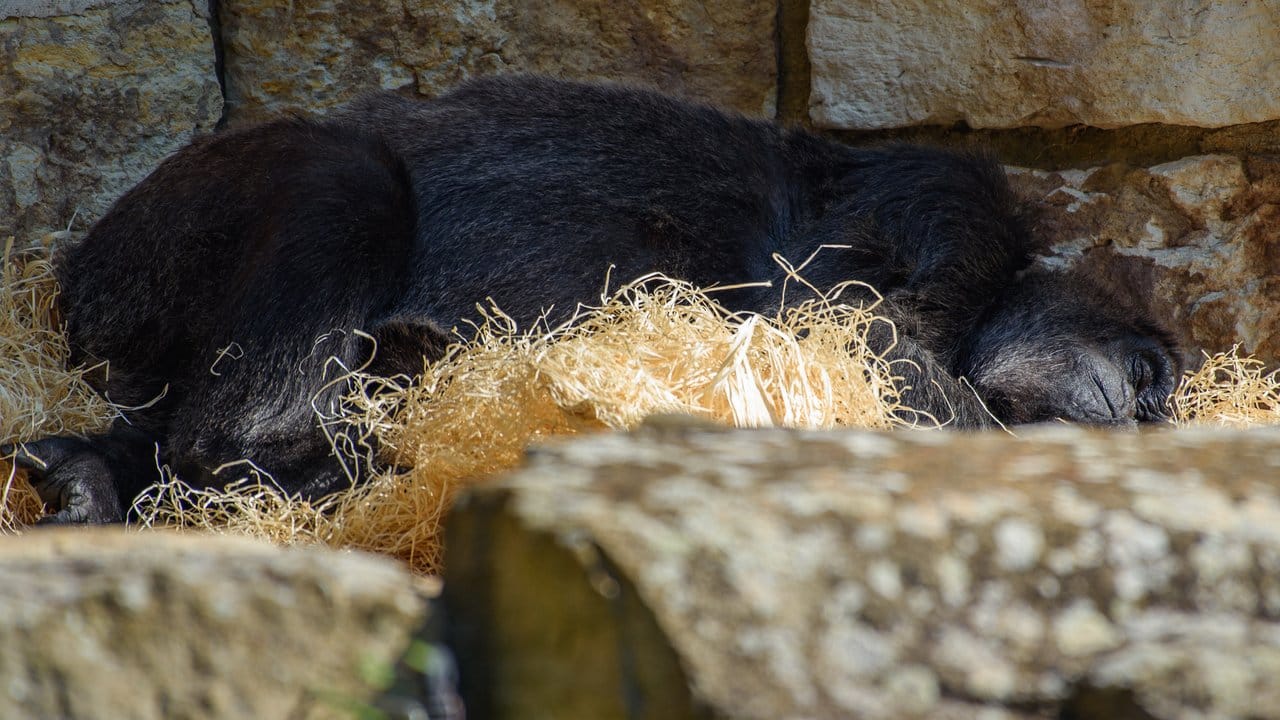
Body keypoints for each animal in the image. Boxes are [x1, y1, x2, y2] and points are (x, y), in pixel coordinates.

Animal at [2, 74, 1177, 520]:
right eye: (1152, 374)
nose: (1152, 415)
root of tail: (69, 278)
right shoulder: (944, 215)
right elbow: (871, 346)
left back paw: (90, 475)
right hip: (169, 238)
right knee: (338, 186)